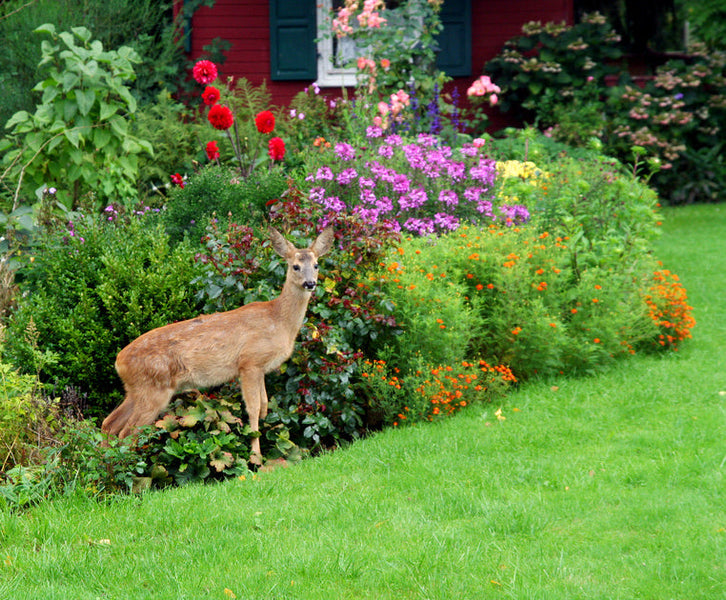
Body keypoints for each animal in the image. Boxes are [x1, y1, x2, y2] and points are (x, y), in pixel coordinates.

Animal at [101, 226, 334, 464]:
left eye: (316, 265)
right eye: (295, 266)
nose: (310, 283)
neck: (278, 320)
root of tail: (119, 361)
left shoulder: (260, 368)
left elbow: (264, 406)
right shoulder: (249, 362)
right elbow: (253, 408)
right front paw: (255, 457)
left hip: (135, 389)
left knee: (109, 424)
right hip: (154, 389)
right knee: (127, 432)